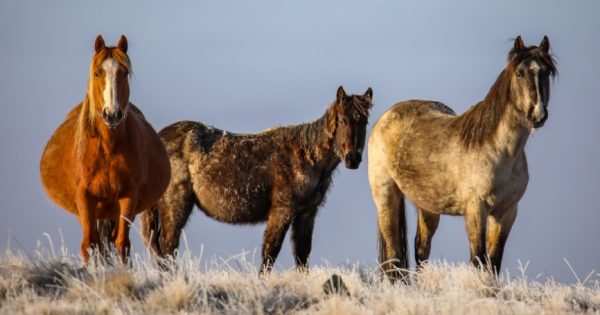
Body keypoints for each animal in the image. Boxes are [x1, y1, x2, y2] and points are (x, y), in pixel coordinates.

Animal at [39, 35, 171, 264]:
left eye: (124, 72)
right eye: (97, 73)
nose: (112, 114)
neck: (108, 149)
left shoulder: (128, 197)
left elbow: (122, 244)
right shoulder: (84, 198)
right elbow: (88, 244)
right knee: (96, 242)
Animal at [142, 86, 372, 274]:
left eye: (364, 121)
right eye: (342, 120)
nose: (353, 158)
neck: (306, 155)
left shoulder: (307, 213)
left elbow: (302, 256)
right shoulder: (282, 211)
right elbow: (270, 253)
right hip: (177, 206)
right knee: (168, 247)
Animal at [370, 36, 556, 282]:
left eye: (546, 72)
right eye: (520, 73)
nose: (538, 114)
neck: (499, 151)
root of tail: (386, 116)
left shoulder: (507, 212)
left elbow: (493, 263)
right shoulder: (476, 209)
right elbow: (478, 259)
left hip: (427, 206)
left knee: (421, 250)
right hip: (386, 197)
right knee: (393, 256)